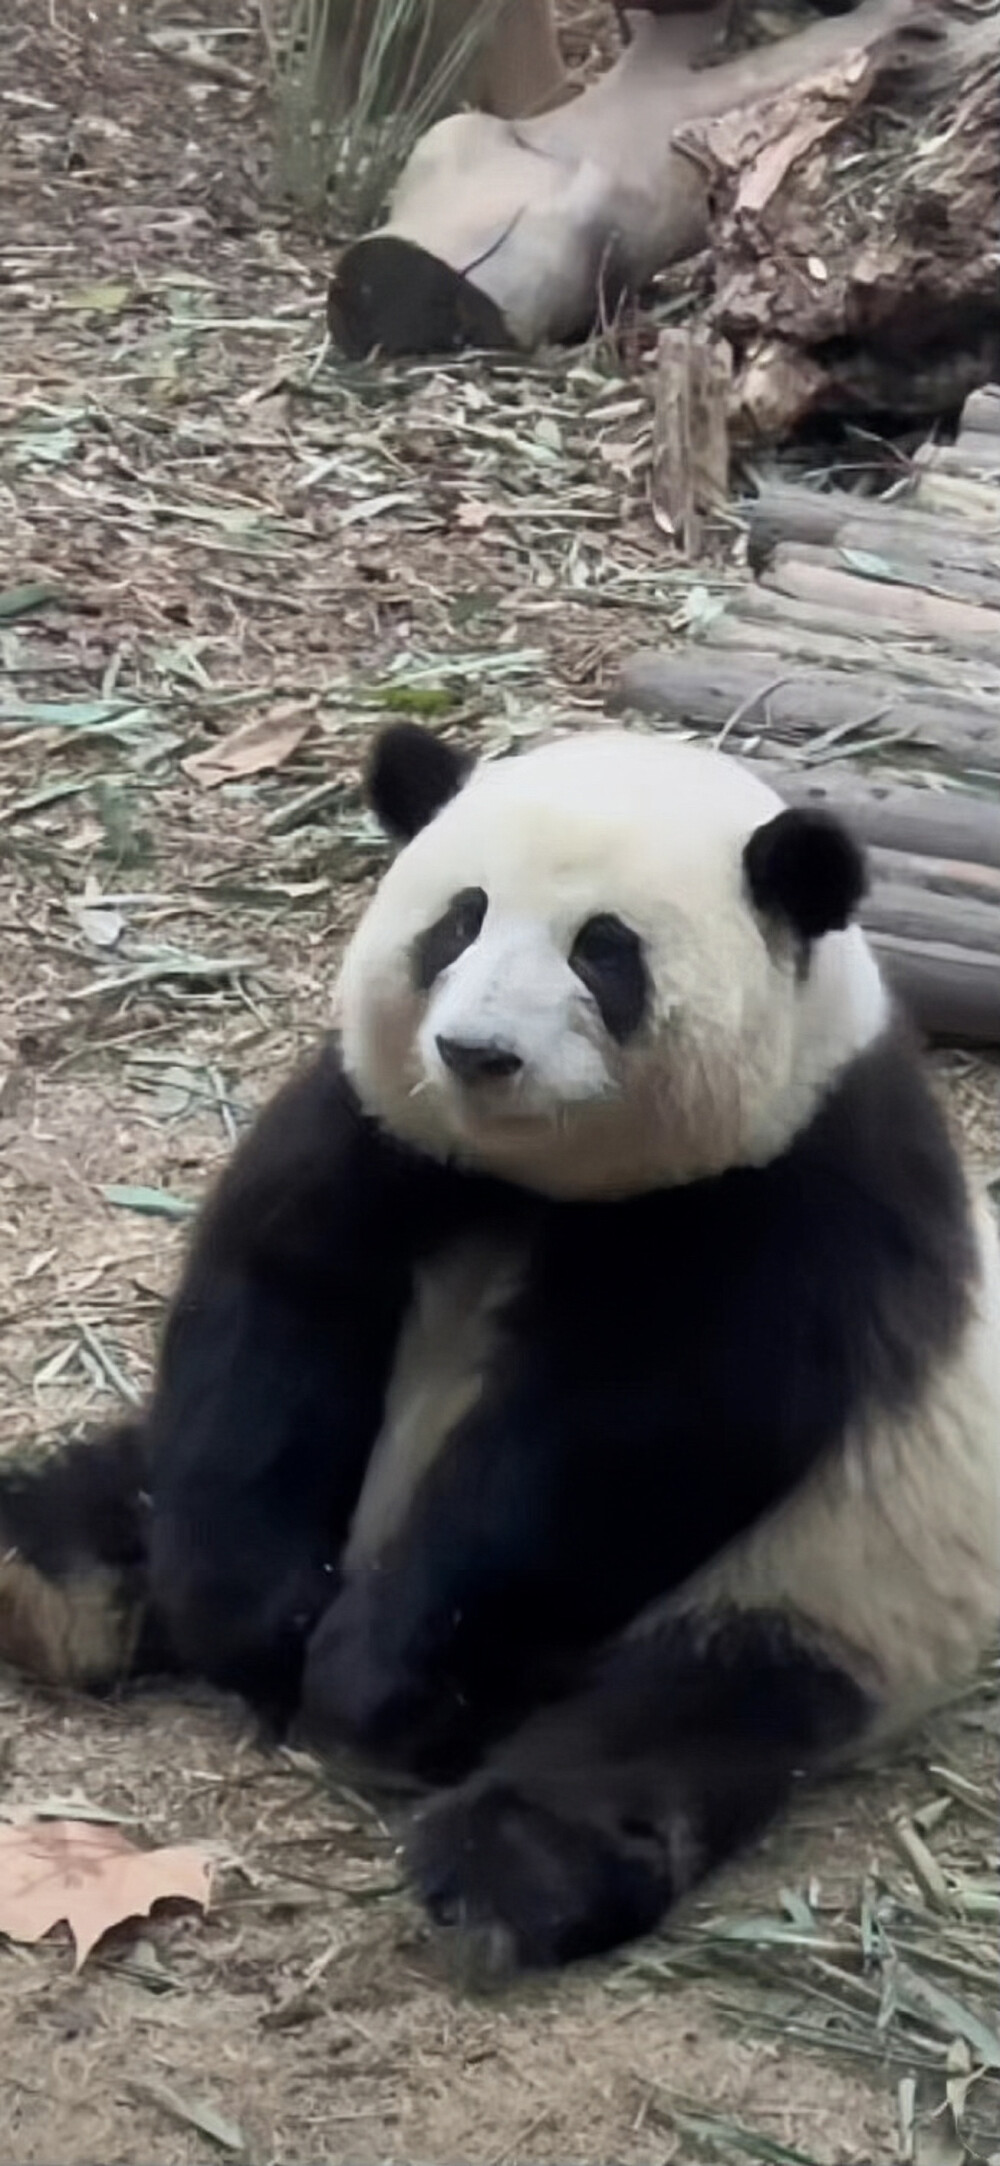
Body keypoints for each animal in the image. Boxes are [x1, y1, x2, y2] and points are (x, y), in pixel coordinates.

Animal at [1, 719, 1000, 1975]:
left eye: (605, 952)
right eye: (458, 920)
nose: (477, 1052)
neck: (537, 1179)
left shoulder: (794, 1192)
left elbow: (624, 1441)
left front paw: (365, 1679)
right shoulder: (378, 1123)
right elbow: (275, 1304)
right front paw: (258, 1622)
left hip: (828, 1577)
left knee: (679, 1716)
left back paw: (506, 1865)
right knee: (140, 1476)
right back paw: (46, 1573)